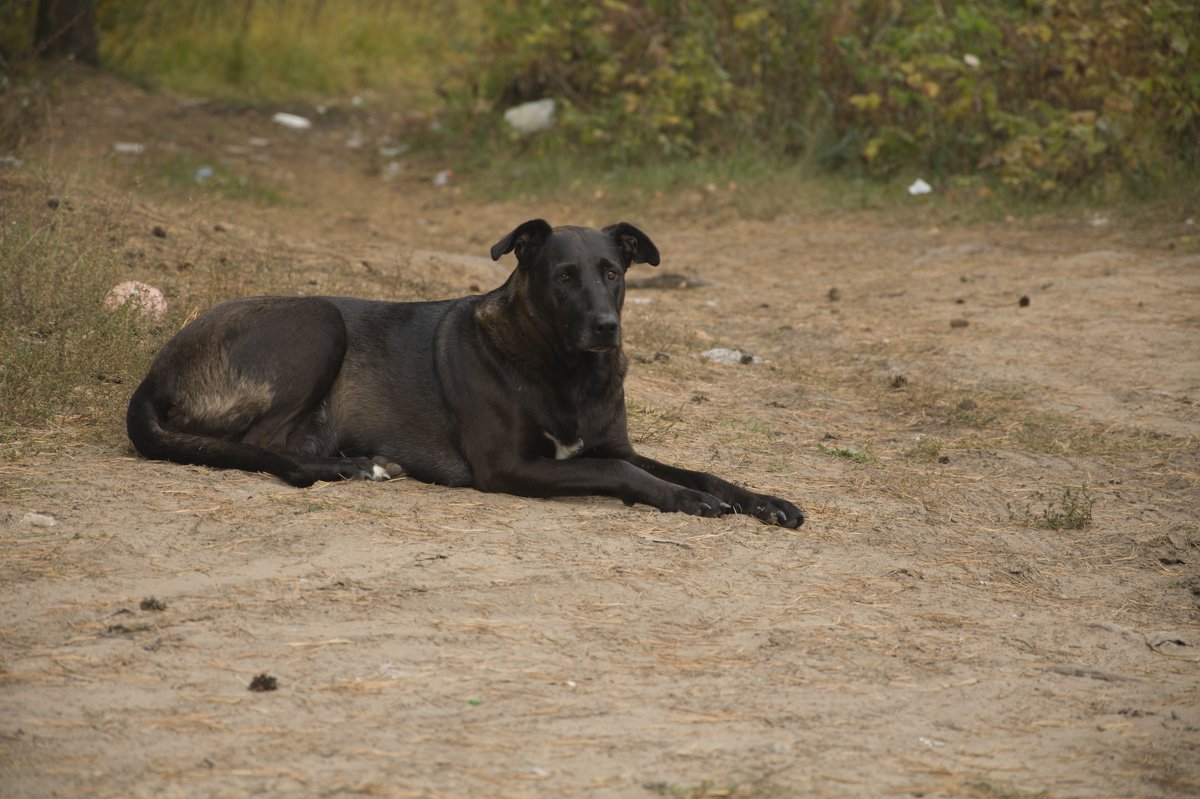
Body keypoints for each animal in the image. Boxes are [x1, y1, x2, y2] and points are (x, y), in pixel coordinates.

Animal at [126, 220, 806, 525]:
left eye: (613, 272)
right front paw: (687, 500)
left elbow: (697, 468)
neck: (567, 371)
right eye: (564, 276)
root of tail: (157, 370)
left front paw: (763, 500)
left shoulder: (613, 441)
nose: (606, 327)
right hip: (319, 322)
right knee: (265, 446)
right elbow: (623, 474)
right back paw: (352, 467)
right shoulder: (508, 467)